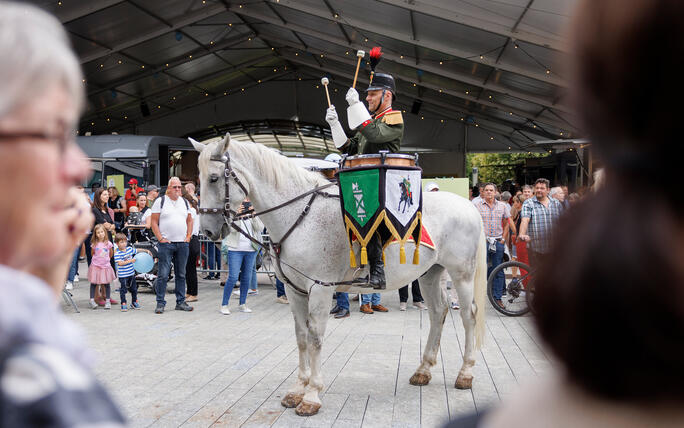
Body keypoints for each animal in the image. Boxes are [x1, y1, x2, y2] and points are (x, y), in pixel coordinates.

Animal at [191, 135, 486, 416]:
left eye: (214, 178)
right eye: (199, 179)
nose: (207, 232)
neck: (299, 217)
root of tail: (468, 206)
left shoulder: (320, 289)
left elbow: (315, 338)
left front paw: (311, 395)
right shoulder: (294, 290)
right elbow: (301, 337)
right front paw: (297, 389)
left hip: (461, 274)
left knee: (468, 315)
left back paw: (466, 373)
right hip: (429, 274)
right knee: (438, 312)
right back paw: (423, 370)